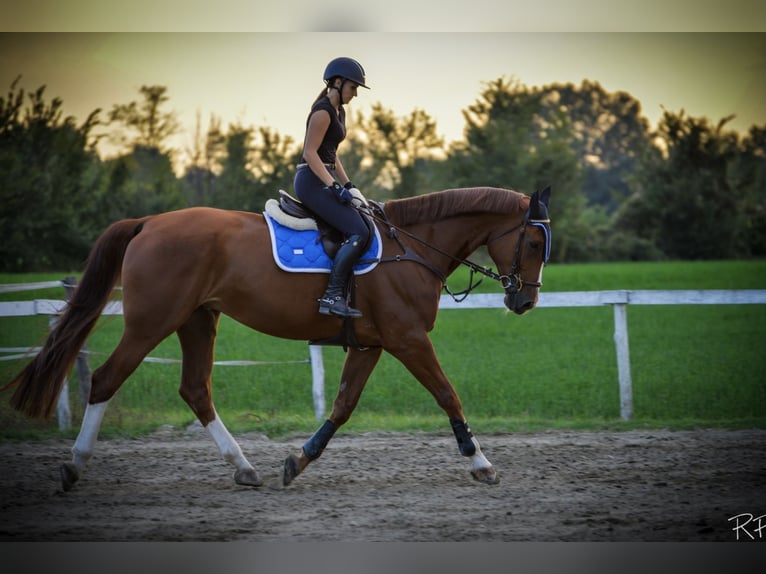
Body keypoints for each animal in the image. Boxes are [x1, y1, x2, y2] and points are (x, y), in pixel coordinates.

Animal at [3, 185, 551, 491]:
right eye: (533, 240)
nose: (525, 302)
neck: (410, 247)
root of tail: (148, 224)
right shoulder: (408, 339)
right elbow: (447, 394)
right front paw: (481, 464)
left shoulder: (372, 344)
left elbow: (342, 406)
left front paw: (297, 461)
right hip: (151, 322)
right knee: (105, 380)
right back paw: (74, 467)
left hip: (197, 320)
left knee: (195, 390)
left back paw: (244, 468)